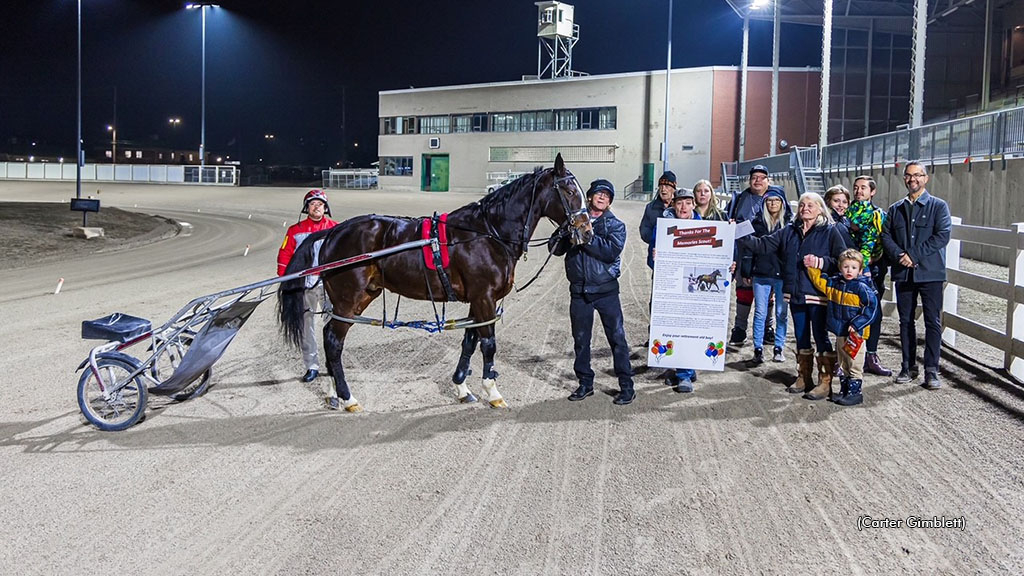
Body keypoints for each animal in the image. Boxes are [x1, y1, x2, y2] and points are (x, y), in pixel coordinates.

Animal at [276, 154, 598, 409]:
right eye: (569, 190)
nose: (587, 232)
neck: (486, 233)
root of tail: (332, 231)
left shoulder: (478, 301)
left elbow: (470, 342)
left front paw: (462, 386)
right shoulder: (485, 298)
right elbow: (488, 345)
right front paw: (492, 392)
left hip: (360, 296)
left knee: (331, 339)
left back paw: (334, 393)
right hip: (348, 299)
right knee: (333, 341)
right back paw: (347, 397)